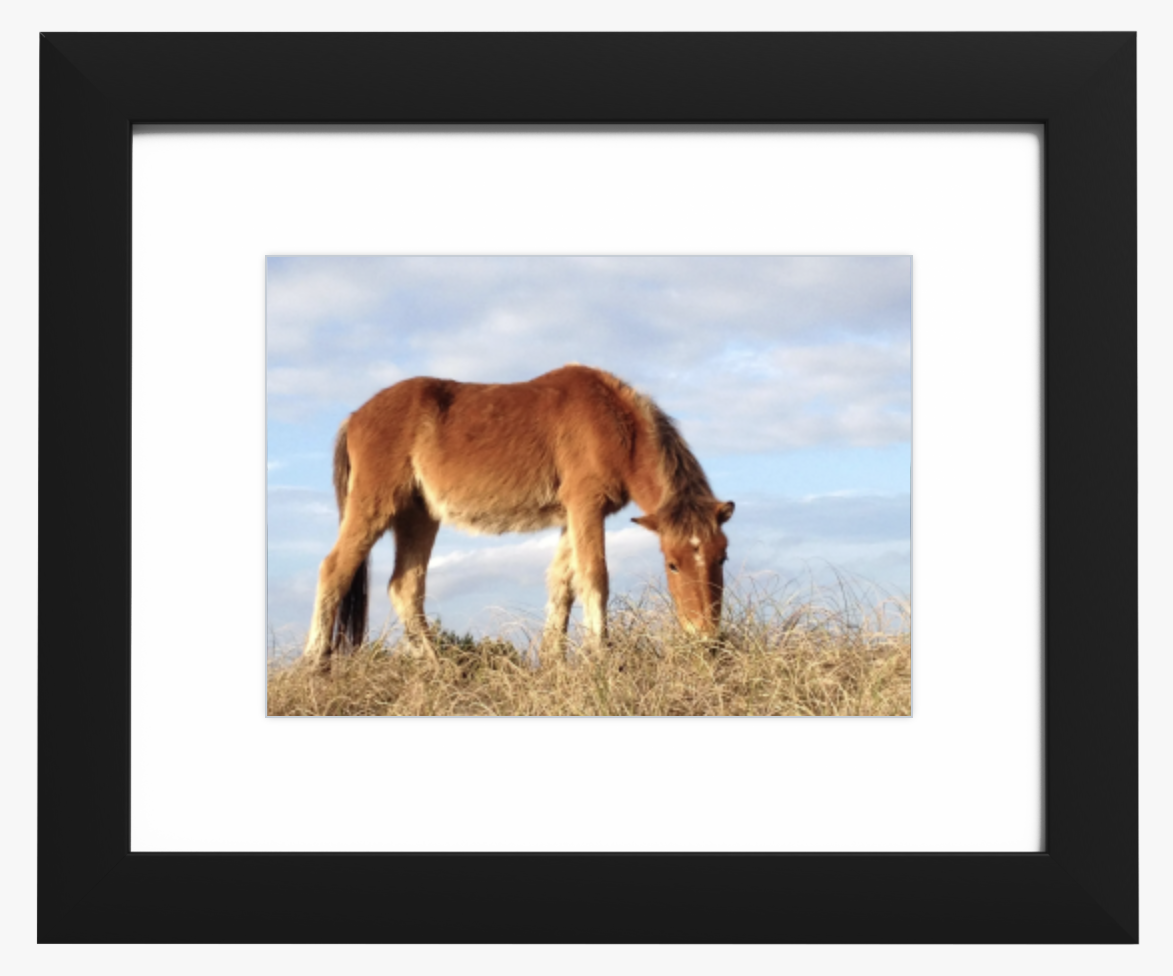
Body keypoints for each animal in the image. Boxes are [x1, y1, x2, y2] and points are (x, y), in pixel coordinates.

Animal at [303, 364, 734, 666]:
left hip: (419, 516)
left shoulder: (571, 516)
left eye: (722, 557)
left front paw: (554, 662)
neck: (615, 422)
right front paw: (601, 659)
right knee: (334, 570)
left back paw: (440, 669)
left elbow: (563, 586)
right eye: (672, 564)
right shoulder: (586, 507)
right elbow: (595, 578)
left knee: (405, 587)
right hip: (375, 507)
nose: (706, 638)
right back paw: (314, 664)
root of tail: (356, 416)